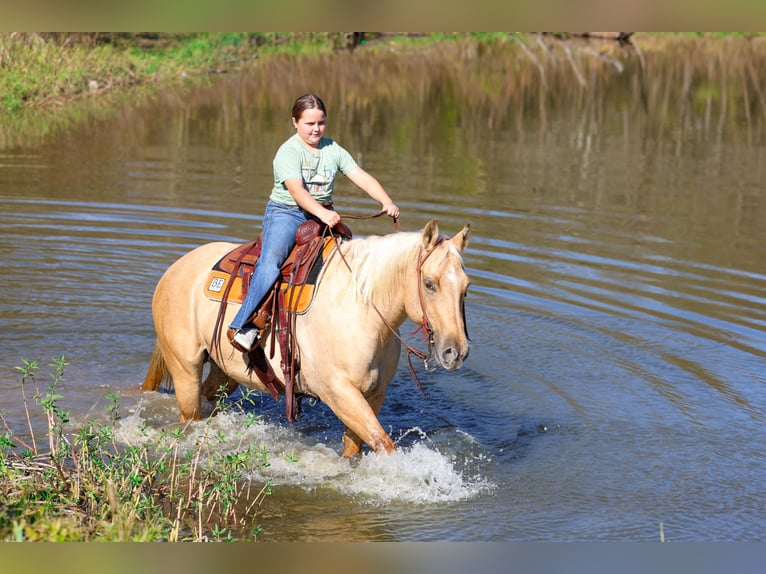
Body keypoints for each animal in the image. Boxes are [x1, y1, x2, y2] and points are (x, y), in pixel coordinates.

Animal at [141, 219, 471, 457]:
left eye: (466, 287)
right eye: (429, 283)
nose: (456, 352)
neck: (361, 309)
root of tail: (176, 269)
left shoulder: (374, 395)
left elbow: (357, 446)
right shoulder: (339, 393)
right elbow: (383, 443)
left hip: (225, 371)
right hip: (184, 368)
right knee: (190, 414)